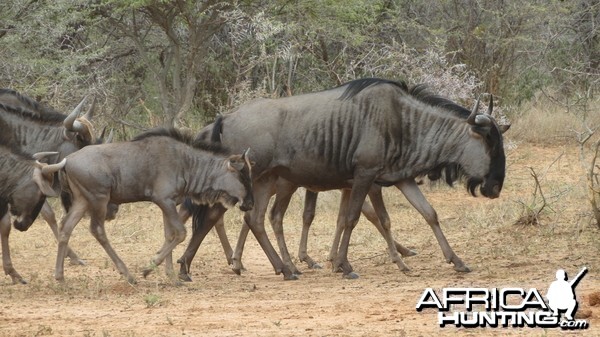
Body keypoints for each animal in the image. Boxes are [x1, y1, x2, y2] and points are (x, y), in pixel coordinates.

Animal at [56, 127, 253, 282]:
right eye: (242, 176)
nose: (250, 204)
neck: (186, 163)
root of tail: (67, 161)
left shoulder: (169, 203)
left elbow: (169, 235)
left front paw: (171, 276)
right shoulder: (164, 200)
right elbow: (180, 233)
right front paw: (148, 269)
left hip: (82, 201)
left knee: (66, 227)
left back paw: (60, 276)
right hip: (99, 199)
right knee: (97, 230)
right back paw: (128, 275)